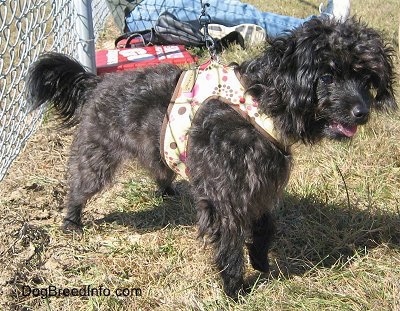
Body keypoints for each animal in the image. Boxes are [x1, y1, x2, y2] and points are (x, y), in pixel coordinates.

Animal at [26, 17, 396, 300]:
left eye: (366, 79)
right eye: (327, 76)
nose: (362, 112)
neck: (257, 104)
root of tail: (95, 82)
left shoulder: (260, 186)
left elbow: (264, 226)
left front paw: (262, 264)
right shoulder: (227, 197)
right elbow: (230, 242)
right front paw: (234, 289)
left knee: (161, 171)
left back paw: (169, 192)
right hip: (96, 155)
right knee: (79, 185)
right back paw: (72, 222)